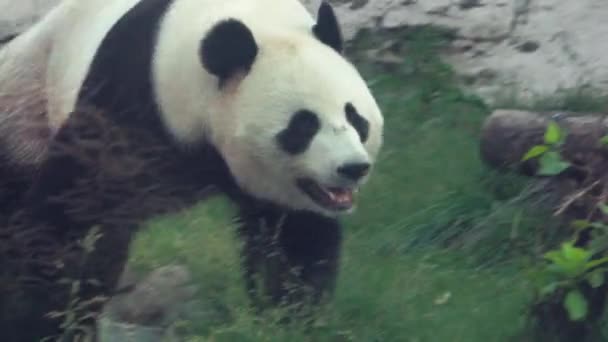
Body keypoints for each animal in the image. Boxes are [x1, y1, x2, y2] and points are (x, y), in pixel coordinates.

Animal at [0, 0, 382, 340]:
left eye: (355, 118)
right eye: (303, 126)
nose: (353, 168)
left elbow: (293, 238)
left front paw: (287, 321)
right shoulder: (130, 93)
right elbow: (73, 215)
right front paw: (38, 322)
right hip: (25, 102)